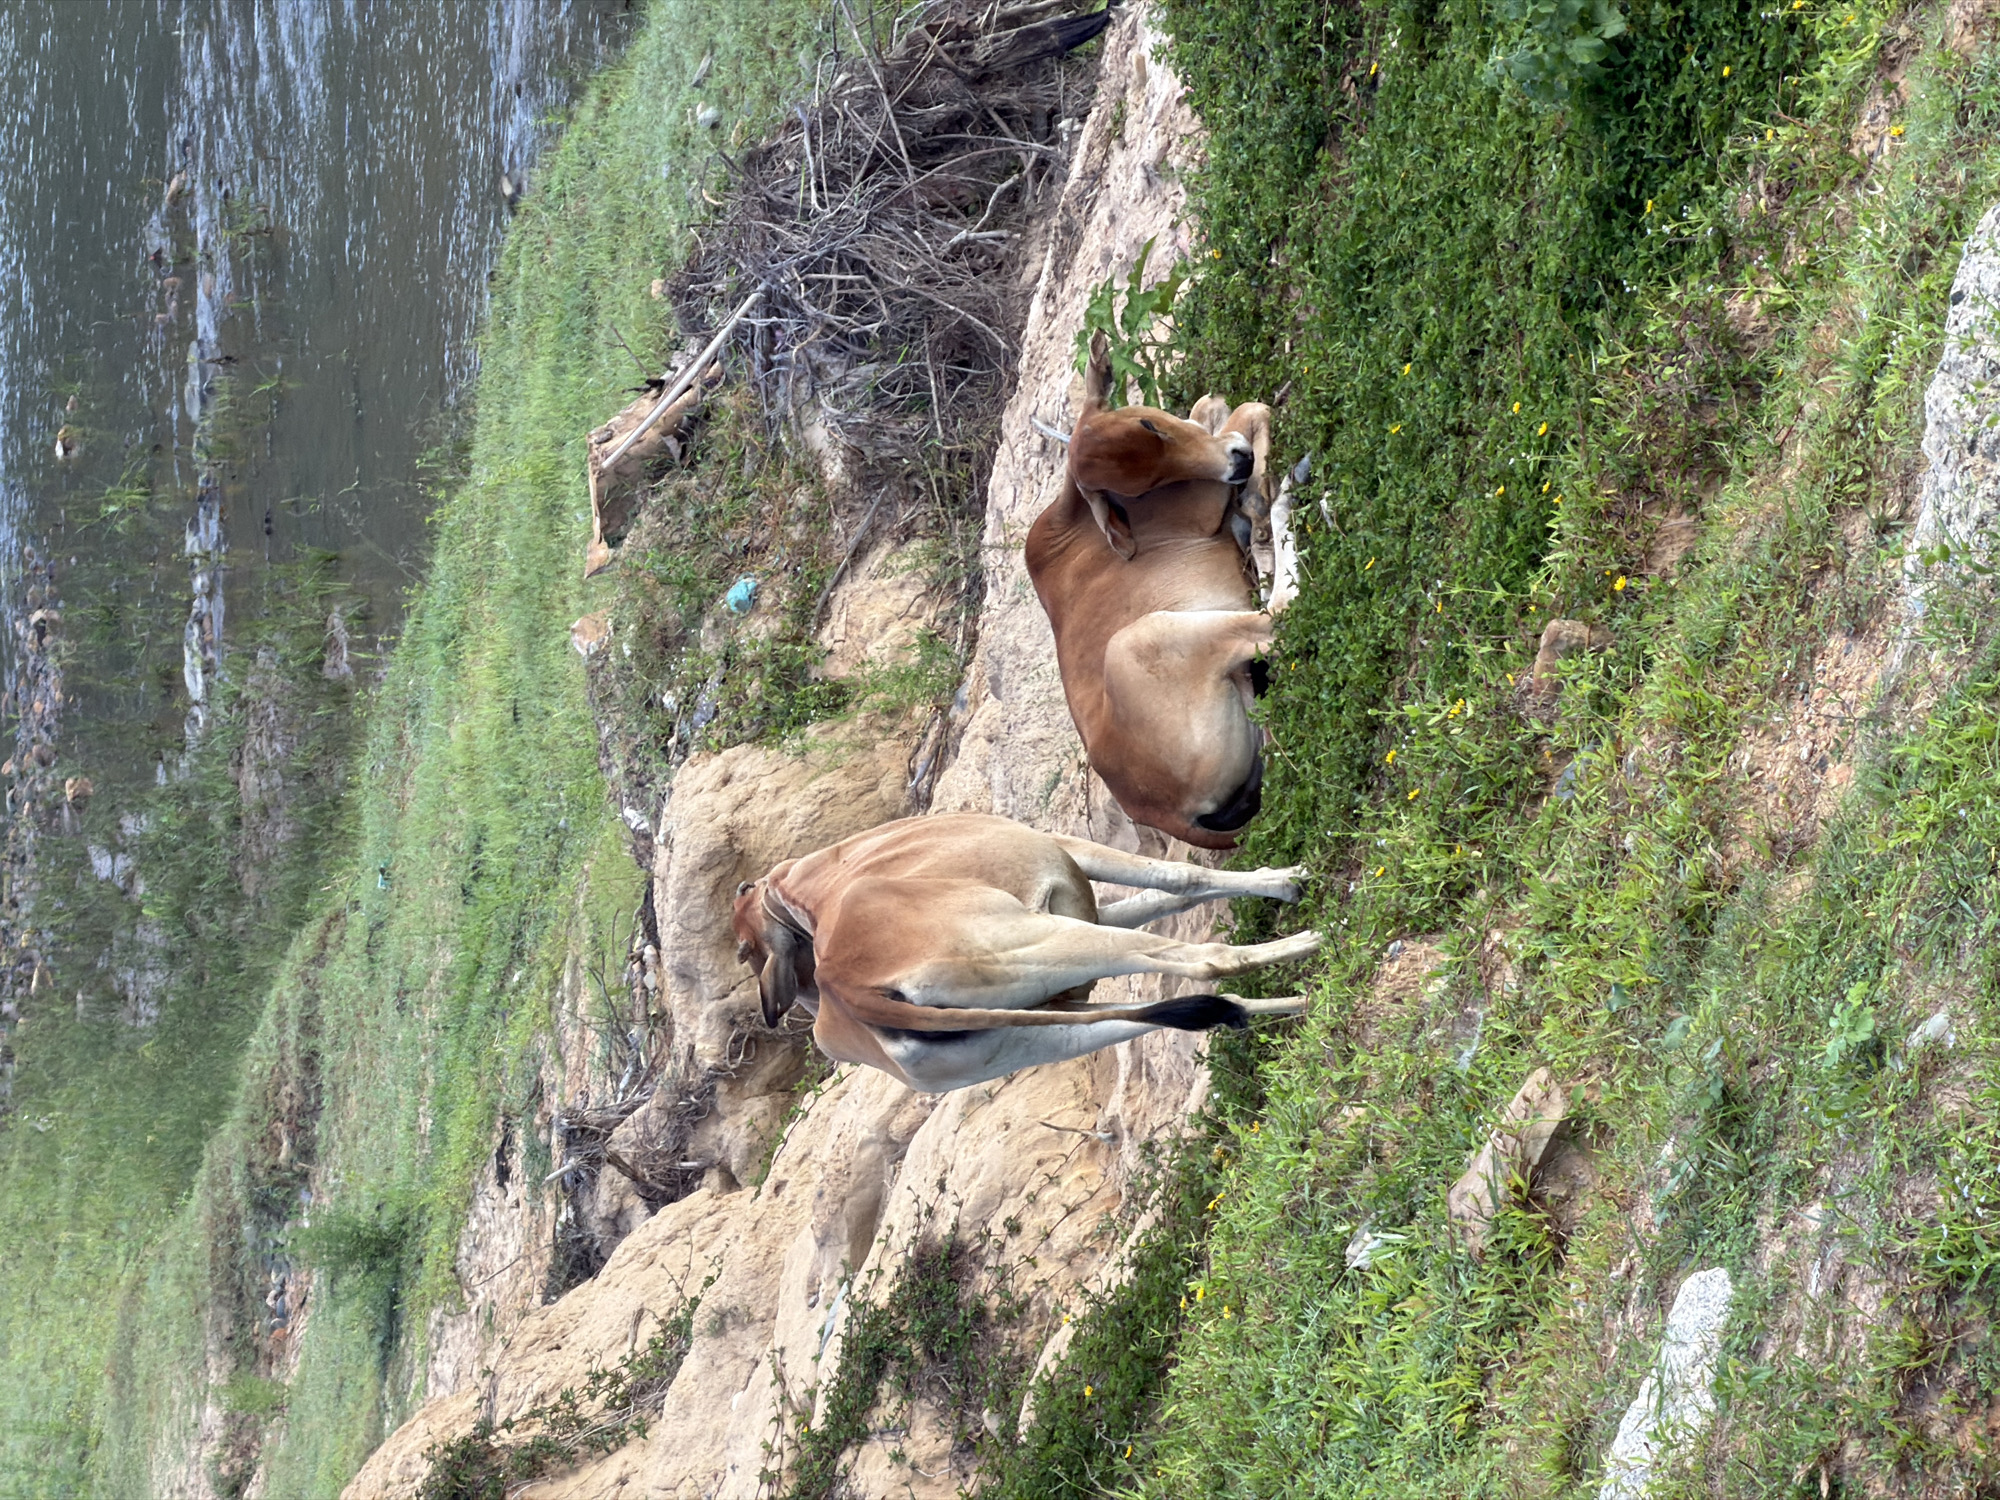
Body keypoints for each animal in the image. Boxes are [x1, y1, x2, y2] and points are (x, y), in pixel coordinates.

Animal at [732, 813, 1318, 1092]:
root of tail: (852, 991)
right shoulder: (1066, 853)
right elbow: (1179, 877)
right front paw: (1284, 880)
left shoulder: (1078, 910)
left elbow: (1163, 896)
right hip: (1043, 941)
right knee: (1205, 960)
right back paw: (1308, 946)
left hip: (1042, 1027)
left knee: (1177, 1010)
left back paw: (1295, 1005)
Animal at [1025, 333, 1300, 849]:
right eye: (1140, 486)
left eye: (1149, 423)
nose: (1239, 463)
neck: (1074, 514)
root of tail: (1162, 814)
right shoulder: (1206, 501)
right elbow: (1247, 409)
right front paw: (1257, 493)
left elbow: (1209, 406)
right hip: (1144, 638)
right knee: (1281, 611)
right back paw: (1284, 503)